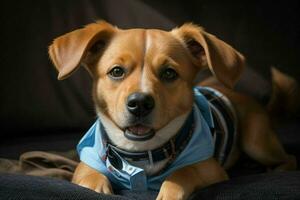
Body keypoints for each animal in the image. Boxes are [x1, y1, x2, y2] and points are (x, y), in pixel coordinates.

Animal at [48, 20, 296, 200]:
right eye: (116, 71)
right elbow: (90, 177)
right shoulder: (86, 165)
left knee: (289, 158)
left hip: (257, 142)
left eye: (169, 73)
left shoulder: (212, 169)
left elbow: (184, 172)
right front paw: (99, 187)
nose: (140, 103)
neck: (141, 153)